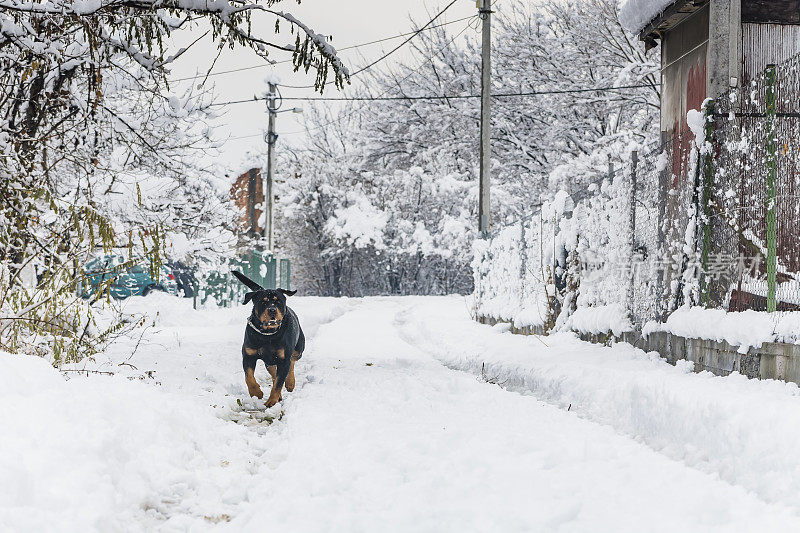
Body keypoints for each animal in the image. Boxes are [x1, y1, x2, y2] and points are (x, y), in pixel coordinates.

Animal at [234, 272, 306, 406]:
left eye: (278, 302)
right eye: (263, 302)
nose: (272, 310)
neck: (267, 335)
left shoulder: (284, 359)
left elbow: (278, 383)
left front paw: (271, 401)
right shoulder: (248, 356)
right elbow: (248, 377)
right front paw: (256, 392)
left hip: (299, 349)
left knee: (292, 361)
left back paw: (290, 383)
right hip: (269, 361)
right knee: (273, 372)